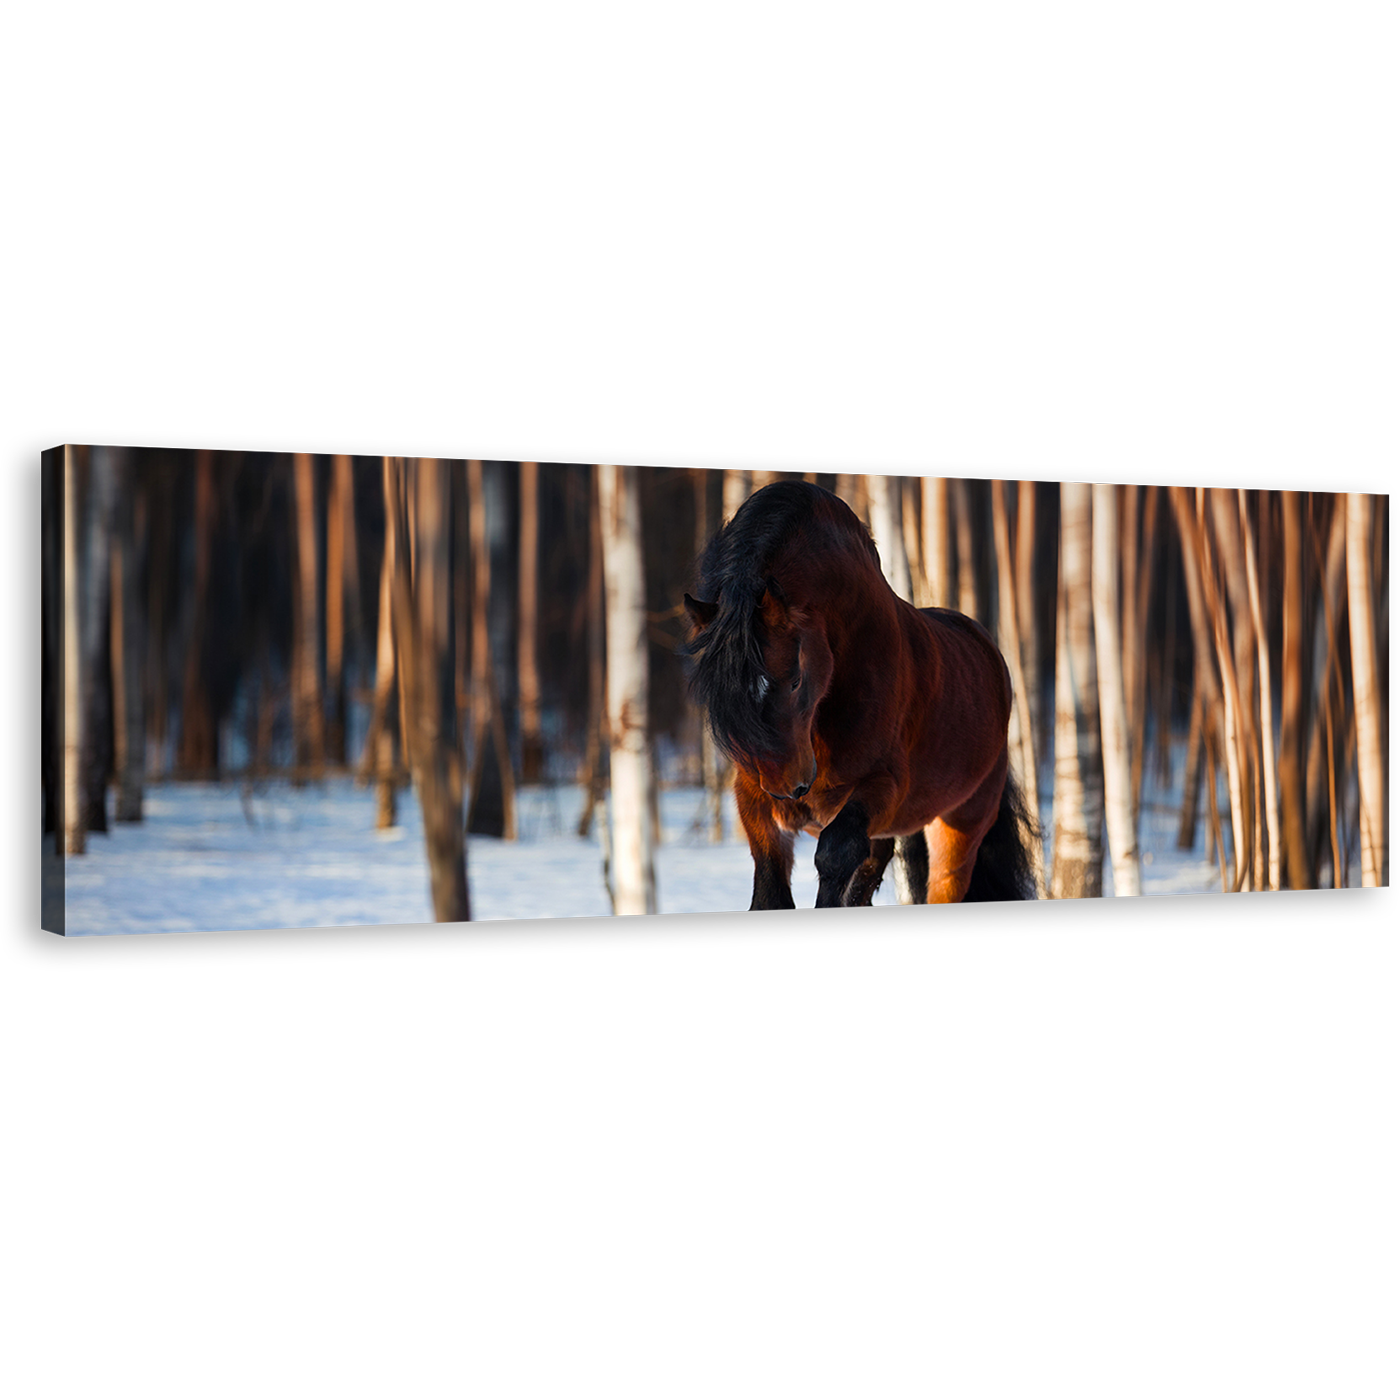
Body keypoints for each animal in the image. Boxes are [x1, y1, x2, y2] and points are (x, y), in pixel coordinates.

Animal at [683, 481, 1036, 907]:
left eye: (795, 680)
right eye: (727, 698)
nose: (789, 790)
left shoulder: (881, 787)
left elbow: (835, 855)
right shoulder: (753, 793)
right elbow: (770, 882)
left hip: (959, 826)